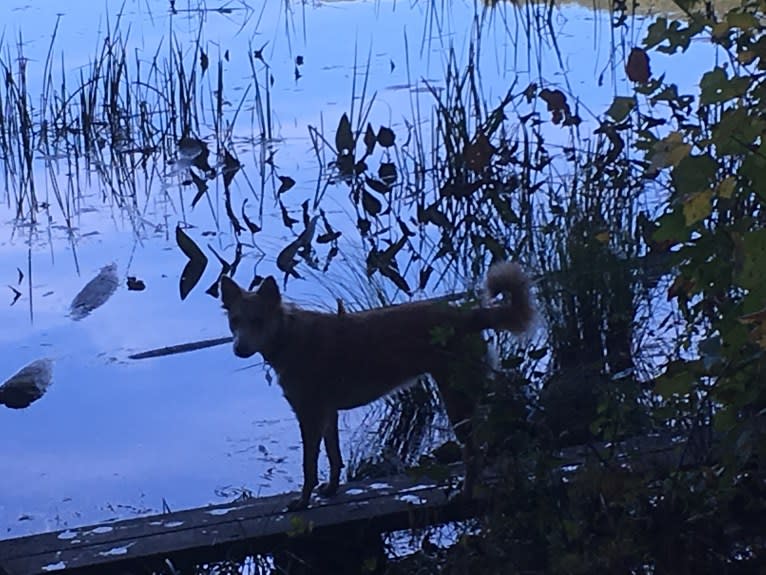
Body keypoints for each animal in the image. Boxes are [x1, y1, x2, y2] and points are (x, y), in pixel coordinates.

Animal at [222, 264, 536, 510]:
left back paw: (466, 493)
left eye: (258, 321)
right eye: (235, 321)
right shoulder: (328, 414)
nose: (239, 349)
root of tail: (466, 315)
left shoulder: (309, 416)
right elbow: (334, 457)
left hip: (456, 399)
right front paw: (331, 490)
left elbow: (309, 466)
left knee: (473, 453)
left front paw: (302, 502)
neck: (288, 335)